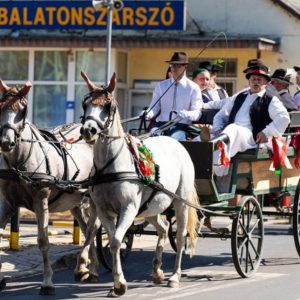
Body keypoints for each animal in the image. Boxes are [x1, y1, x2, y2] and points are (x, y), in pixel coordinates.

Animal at [0, 80, 99, 296]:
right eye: (0, 106)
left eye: (23, 110)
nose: (5, 142)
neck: (20, 161)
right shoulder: (8, 203)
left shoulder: (41, 200)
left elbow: (43, 241)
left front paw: (47, 282)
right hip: (75, 201)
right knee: (87, 227)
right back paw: (88, 267)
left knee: (94, 227)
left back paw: (85, 266)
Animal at [79, 71, 199, 296]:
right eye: (85, 104)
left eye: (108, 105)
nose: (88, 130)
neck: (111, 165)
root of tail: (175, 142)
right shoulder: (104, 210)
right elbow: (112, 242)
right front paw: (116, 282)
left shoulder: (128, 208)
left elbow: (116, 241)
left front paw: (119, 283)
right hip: (151, 207)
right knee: (163, 227)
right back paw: (157, 271)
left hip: (180, 203)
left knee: (179, 236)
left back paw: (174, 277)